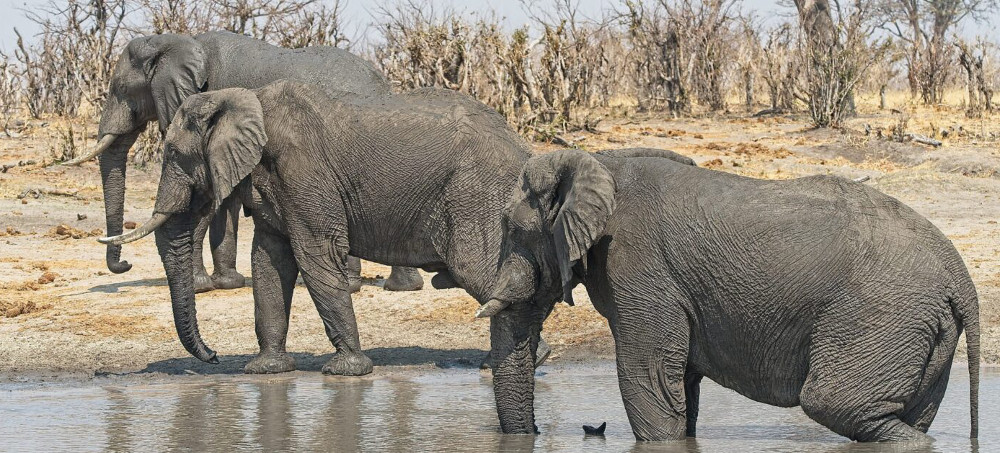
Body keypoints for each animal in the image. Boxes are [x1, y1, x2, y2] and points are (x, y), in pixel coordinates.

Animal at [65, 31, 421, 293]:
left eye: (121, 88)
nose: (124, 265)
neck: (174, 42)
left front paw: (200, 288)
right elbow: (223, 199)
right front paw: (227, 283)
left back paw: (353, 285)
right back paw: (399, 287)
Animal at [479, 149, 980, 442]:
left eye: (512, 228)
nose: (534, 434)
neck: (597, 162)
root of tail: (961, 278)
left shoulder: (638, 267)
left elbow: (649, 378)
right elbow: (679, 380)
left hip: (881, 315)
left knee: (838, 404)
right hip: (921, 328)